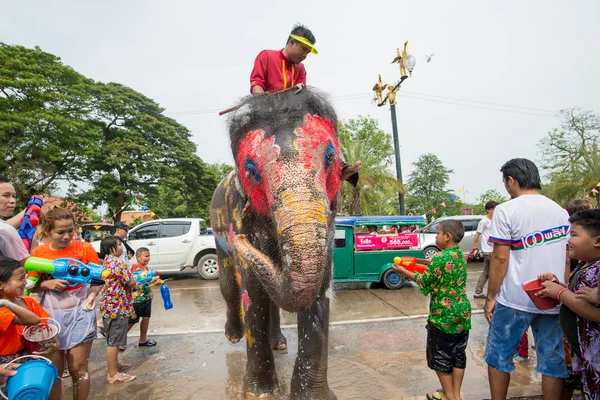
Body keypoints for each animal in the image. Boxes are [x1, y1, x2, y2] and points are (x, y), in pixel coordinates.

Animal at [209, 86, 340, 398]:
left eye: (330, 157)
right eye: (252, 171)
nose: (241, 238)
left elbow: (320, 285)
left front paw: (313, 396)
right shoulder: (237, 212)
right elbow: (252, 289)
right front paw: (260, 393)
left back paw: (279, 343)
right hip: (217, 230)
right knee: (229, 285)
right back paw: (233, 336)